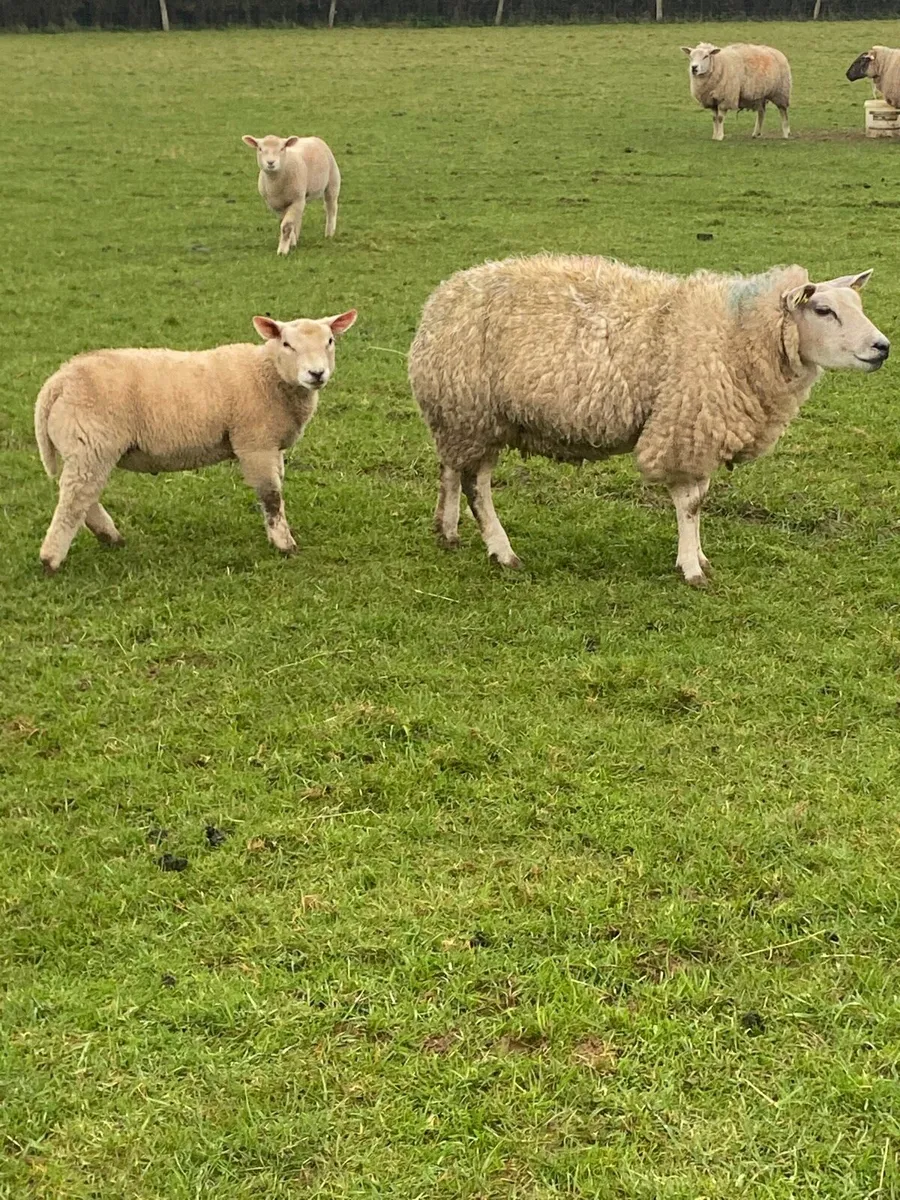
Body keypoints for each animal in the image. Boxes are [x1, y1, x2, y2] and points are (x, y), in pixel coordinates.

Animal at [35, 309, 358, 573]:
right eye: (287, 344)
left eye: (330, 341)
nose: (316, 373)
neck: (267, 373)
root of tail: (58, 381)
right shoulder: (255, 444)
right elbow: (272, 497)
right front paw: (284, 544)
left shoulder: (272, 446)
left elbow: (276, 491)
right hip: (92, 444)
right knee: (73, 500)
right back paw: (50, 561)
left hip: (89, 450)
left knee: (82, 496)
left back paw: (110, 537)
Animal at [408, 255, 889, 588]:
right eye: (823, 310)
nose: (882, 347)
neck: (738, 331)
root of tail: (441, 298)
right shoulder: (684, 423)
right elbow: (690, 503)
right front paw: (692, 569)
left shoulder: (698, 429)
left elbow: (700, 499)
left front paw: (699, 557)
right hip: (473, 411)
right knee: (477, 484)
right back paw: (502, 551)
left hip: (460, 415)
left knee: (450, 469)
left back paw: (447, 532)